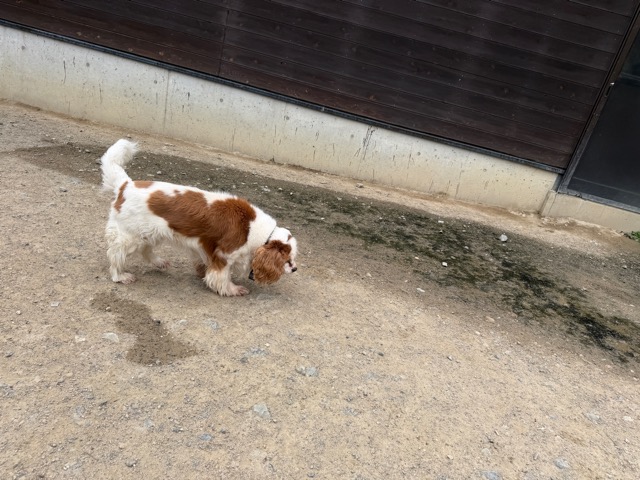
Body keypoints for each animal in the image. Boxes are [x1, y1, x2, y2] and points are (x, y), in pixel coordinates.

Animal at [100, 139, 297, 296]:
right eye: (287, 260)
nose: (295, 268)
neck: (255, 230)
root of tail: (125, 185)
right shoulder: (223, 255)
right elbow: (222, 277)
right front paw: (232, 289)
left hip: (150, 233)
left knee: (145, 250)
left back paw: (159, 262)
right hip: (129, 237)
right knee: (115, 255)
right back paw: (120, 276)